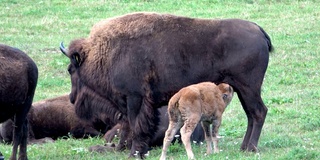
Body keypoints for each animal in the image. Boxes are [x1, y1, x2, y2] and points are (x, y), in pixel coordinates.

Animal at [60, 12, 272, 158]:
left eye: (71, 69)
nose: (71, 97)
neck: (105, 51)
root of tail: (259, 31)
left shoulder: (135, 99)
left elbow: (136, 126)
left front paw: (134, 153)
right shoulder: (129, 104)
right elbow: (128, 126)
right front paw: (128, 150)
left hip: (249, 88)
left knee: (258, 112)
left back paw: (250, 148)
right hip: (242, 89)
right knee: (252, 114)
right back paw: (244, 147)